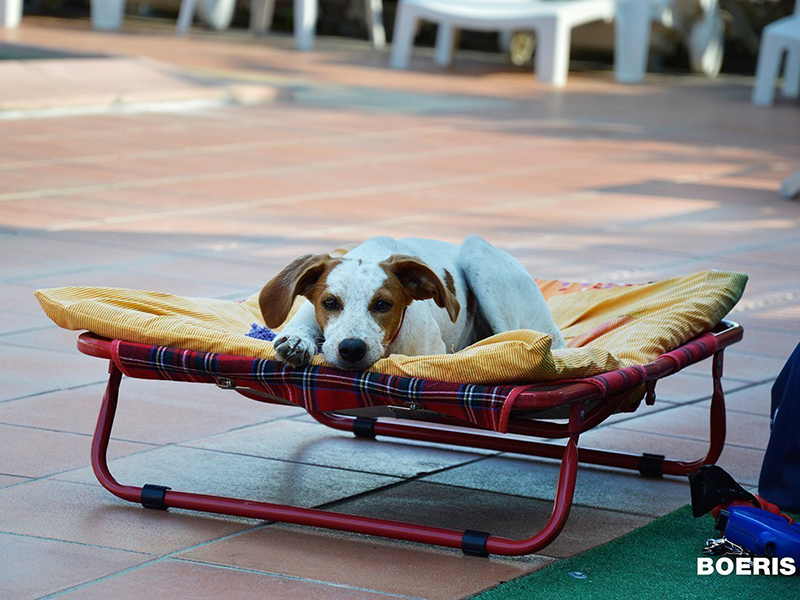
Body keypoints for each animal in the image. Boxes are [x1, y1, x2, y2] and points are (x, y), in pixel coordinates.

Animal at [260, 236, 564, 370]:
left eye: (383, 305)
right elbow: (299, 329)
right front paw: (297, 342)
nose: (352, 349)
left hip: (477, 253)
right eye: (330, 302)